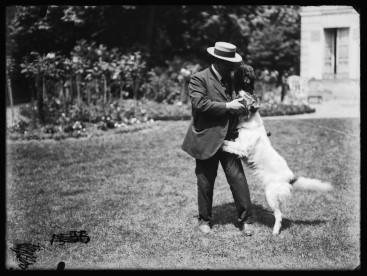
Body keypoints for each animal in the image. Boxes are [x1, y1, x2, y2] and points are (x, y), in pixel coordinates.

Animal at [221, 89, 334, 234]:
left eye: (247, 95)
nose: (240, 89)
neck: (250, 121)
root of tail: (291, 177)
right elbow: (229, 142)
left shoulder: (242, 148)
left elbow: (228, 144)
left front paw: (220, 145)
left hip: (269, 195)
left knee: (279, 215)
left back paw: (275, 231)